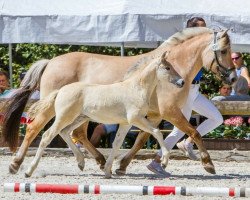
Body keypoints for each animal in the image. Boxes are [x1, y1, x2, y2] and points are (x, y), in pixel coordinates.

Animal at [1, 26, 236, 175]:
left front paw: (122, 165)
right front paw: (208, 164)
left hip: (80, 114)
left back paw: (94, 161)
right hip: (56, 110)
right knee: (36, 129)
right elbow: (193, 132)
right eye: (224, 50)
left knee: (74, 134)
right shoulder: (169, 112)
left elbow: (142, 139)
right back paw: (16, 164)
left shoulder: (153, 115)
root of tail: (50, 62)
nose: (233, 77)